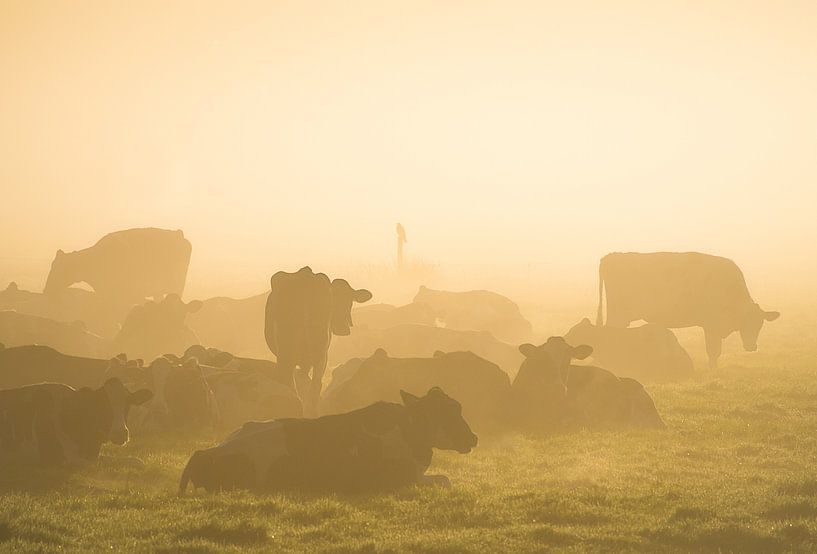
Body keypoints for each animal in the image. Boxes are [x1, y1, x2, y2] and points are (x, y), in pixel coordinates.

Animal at [596, 252, 779, 369]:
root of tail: (610, 256)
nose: (751, 347)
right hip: (619, 315)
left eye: (759, 325)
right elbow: (713, 351)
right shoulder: (711, 325)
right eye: (745, 323)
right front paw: (713, 370)